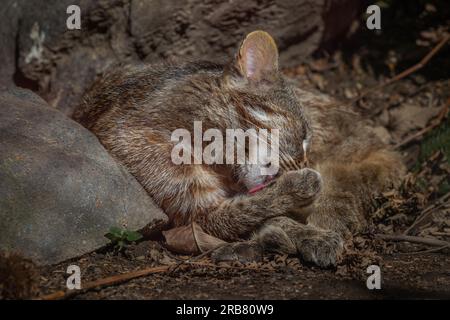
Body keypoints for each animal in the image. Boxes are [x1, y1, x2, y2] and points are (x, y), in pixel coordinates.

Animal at [74, 31, 404, 266]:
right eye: (302, 135)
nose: (306, 163)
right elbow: (252, 209)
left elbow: (265, 210)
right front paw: (299, 204)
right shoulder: (196, 212)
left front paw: (309, 232)